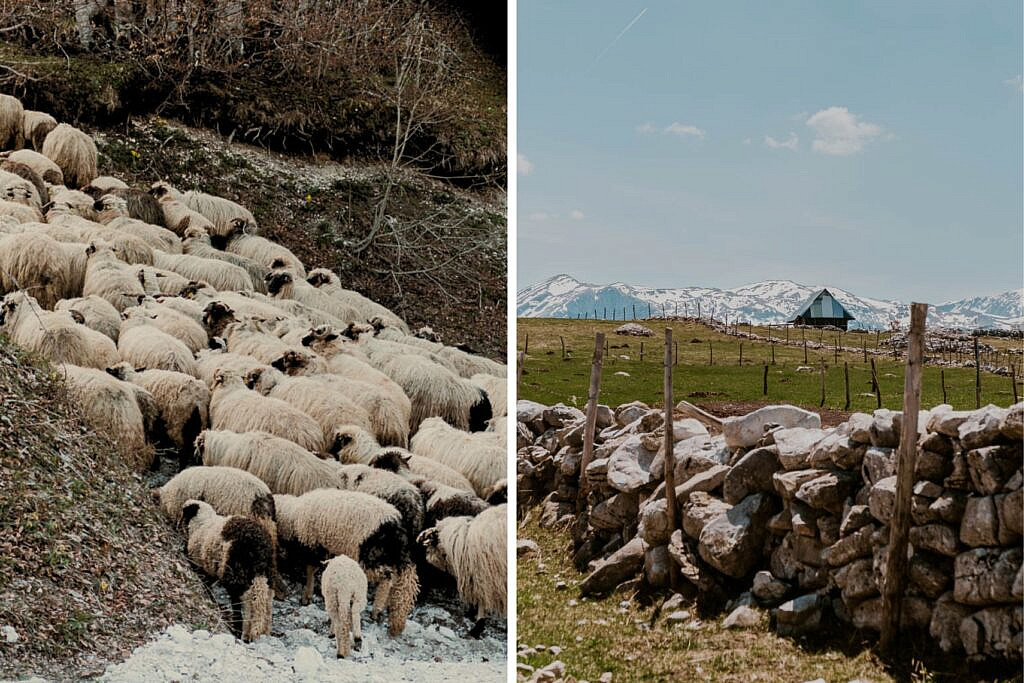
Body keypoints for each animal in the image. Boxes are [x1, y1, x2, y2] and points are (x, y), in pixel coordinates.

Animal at [182, 497, 274, 643]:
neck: (202, 523)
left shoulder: (200, 564)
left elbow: (206, 584)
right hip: (266, 575)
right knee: (266, 599)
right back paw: (262, 631)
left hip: (236, 573)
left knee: (244, 601)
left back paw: (242, 631)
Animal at [274, 489, 417, 634]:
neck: (292, 516)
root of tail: (395, 523)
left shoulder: (312, 544)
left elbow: (310, 570)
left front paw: (306, 596)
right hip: (386, 556)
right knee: (393, 579)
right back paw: (384, 607)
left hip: (369, 556)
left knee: (386, 578)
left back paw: (376, 610)